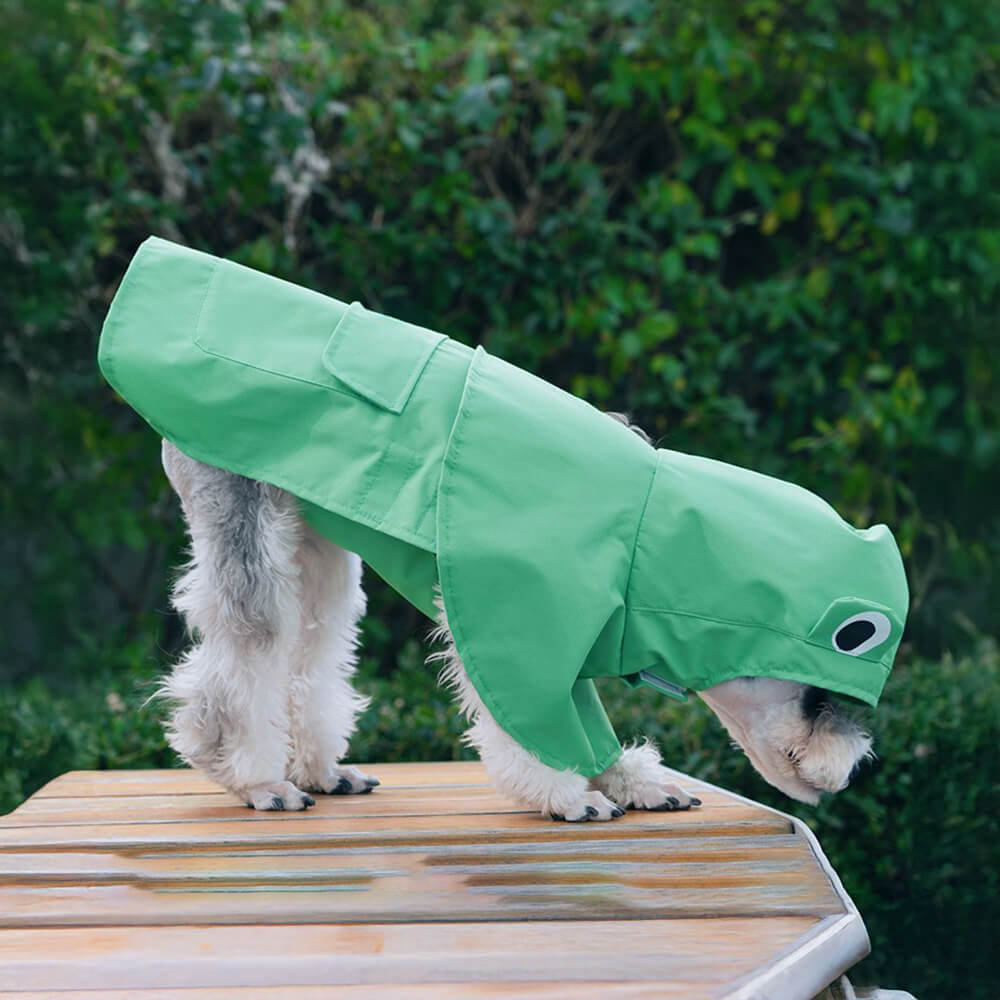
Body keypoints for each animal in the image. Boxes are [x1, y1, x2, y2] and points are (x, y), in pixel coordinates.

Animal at [158, 412, 876, 820]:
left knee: (313, 652)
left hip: (318, 549)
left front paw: (629, 781)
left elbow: (583, 716)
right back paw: (255, 779)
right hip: (250, 527)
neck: (647, 541)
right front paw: (566, 794)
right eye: (821, 696)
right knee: (245, 655)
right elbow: (531, 718)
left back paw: (319, 770)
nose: (848, 773)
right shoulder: (513, 621)